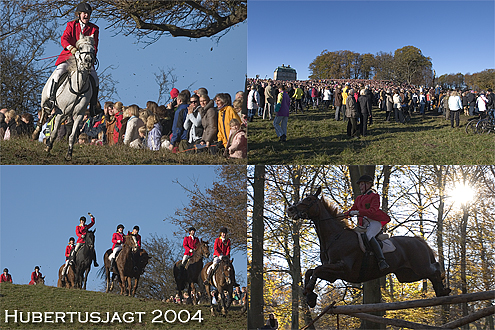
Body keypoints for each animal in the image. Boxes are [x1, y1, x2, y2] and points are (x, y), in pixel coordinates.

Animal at [286, 187, 454, 308]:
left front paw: (308, 292)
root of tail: (419, 241)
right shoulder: (332, 273)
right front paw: (310, 296)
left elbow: (316, 270)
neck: (335, 237)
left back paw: (444, 289)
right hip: (407, 274)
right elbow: (311, 271)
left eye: (308, 199)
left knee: (435, 268)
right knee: (431, 274)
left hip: (420, 267)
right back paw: (441, 291)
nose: (290, 210)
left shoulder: (343, 268)